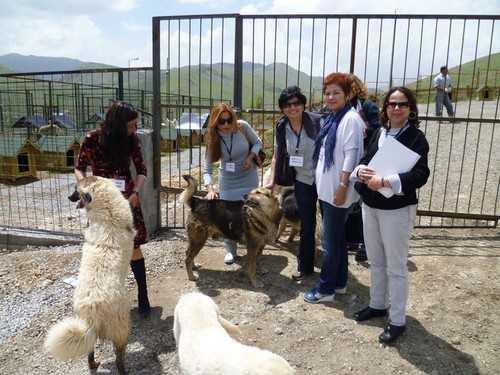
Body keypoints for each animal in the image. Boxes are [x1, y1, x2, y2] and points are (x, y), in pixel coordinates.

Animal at [43, 177, 135, 375]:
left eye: (75, 190)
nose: (69, 197)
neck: (107, 210)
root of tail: (92, 313)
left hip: (92, 331)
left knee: (90, 350)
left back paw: (93, 364)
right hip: (121, 328)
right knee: (119, 358)